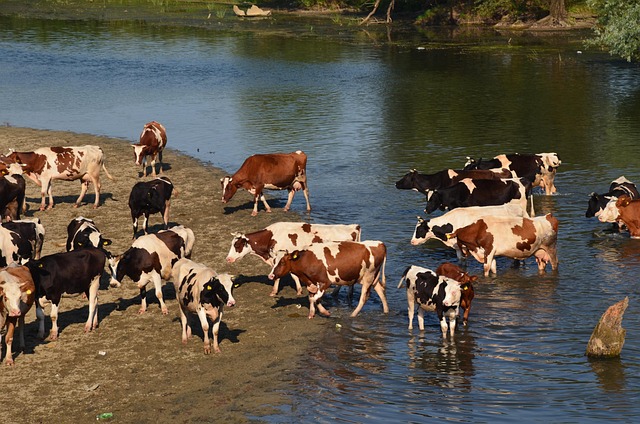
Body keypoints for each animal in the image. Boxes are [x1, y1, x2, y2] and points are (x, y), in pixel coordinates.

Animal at [226, 222, 361, 296]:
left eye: (236, 245)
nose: (228, 259)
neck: (271, 236)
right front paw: (299, 289)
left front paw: (275, 291)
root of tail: (354, 227)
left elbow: (283, 276)